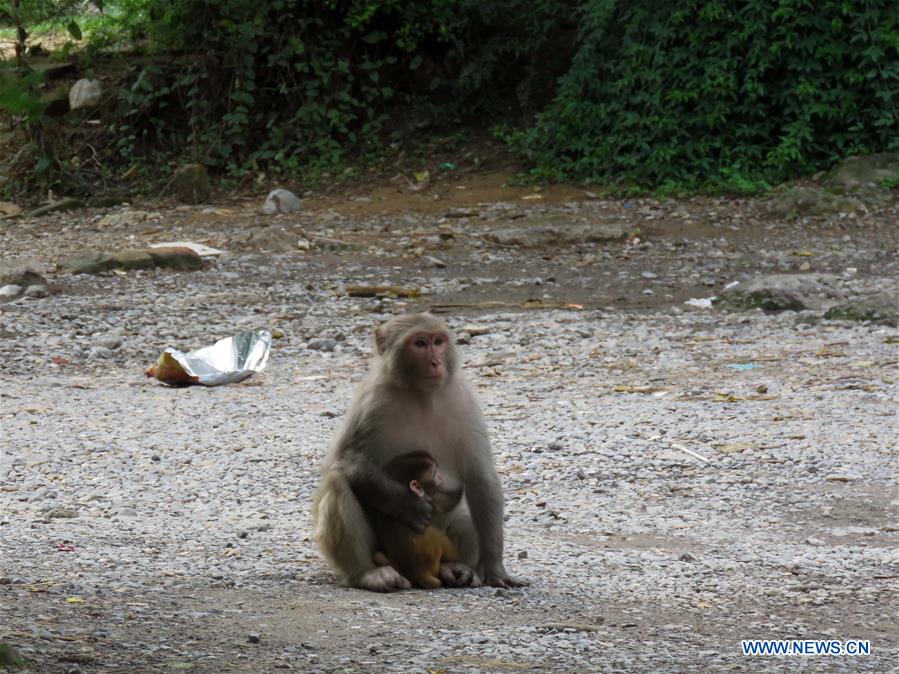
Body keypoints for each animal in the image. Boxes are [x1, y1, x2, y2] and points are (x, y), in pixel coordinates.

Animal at [370, 448, 464, 584]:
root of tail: (419, 573)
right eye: (434, 473)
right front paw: (462, 486)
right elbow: (445, 503)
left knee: (377, 555)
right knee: (440, 537)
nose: (440, 476)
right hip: (434, 555)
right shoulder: (427, 499)